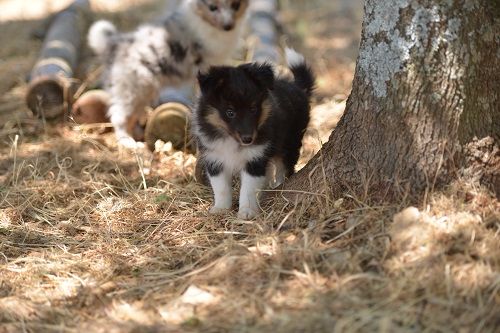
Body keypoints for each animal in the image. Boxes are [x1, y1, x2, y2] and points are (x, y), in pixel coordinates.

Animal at [89, 0, 249, 148]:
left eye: (236, 5)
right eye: (213, 7)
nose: (228, 26)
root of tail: (113, 44)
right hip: (132, 89)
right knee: (119, 116)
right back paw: (128, 142)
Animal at [193, 49, 314, 219]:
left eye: (253, 109)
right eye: (230, 112)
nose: (248, 139)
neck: (232, 140)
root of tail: (296, 87)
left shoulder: (255, 158)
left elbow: (248, 189)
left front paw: (247, 212)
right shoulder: (214, 158)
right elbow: (220, 187)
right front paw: (221, 209)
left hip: (290, 143)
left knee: (284, 168)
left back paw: (279, 186)